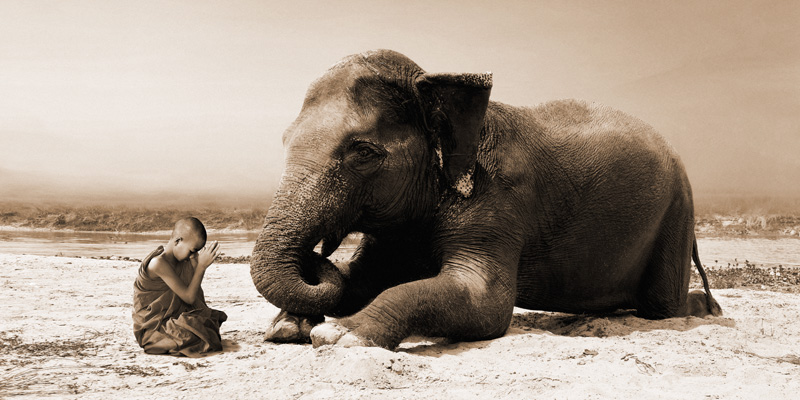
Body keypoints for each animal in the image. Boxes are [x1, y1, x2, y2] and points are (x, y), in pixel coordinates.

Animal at [248, 49, 720, 350]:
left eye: (362, 152)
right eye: (284, 140)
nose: (316, 255)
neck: (437, 86)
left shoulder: (498, 200)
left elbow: (484, 304)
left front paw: (339, 336)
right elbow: (361, 278)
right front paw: (287, 329)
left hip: (678, 211)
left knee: (662, 304)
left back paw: (706, 308)